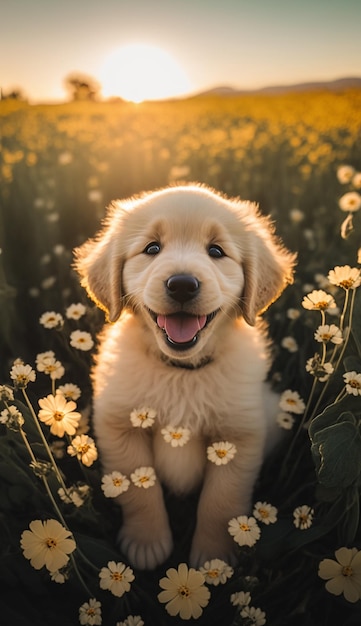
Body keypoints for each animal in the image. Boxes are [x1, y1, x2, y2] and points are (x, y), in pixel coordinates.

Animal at [74, 183, 294, 568]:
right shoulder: (120, 426)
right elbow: (139, 489)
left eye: (216, 251)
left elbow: (220, 501)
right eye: (152, 248)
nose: (181, 285)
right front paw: (147, 543)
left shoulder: (238, 436)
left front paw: (213, 562)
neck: (181, 373)